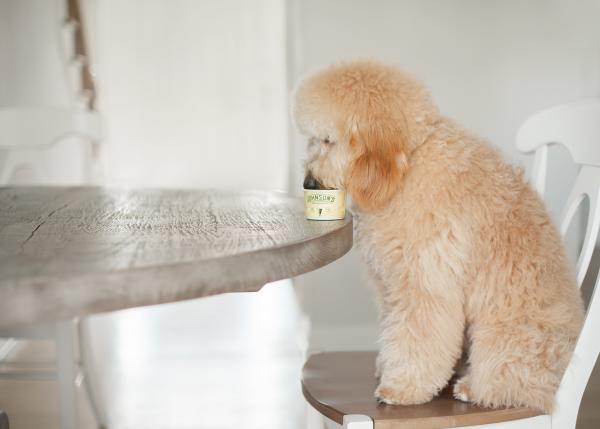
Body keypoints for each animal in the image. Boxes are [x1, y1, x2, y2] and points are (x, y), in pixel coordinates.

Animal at [292, 60, 584, 412]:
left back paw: (473, 387)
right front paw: (386, 365)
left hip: (510, 338)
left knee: (519, 381)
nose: (308, 183)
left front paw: (402, 387)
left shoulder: (424, 282)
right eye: (313, 139)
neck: (409, 163)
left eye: (327, 140)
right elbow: (394, 330)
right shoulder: (390, 284)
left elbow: (418, 338)